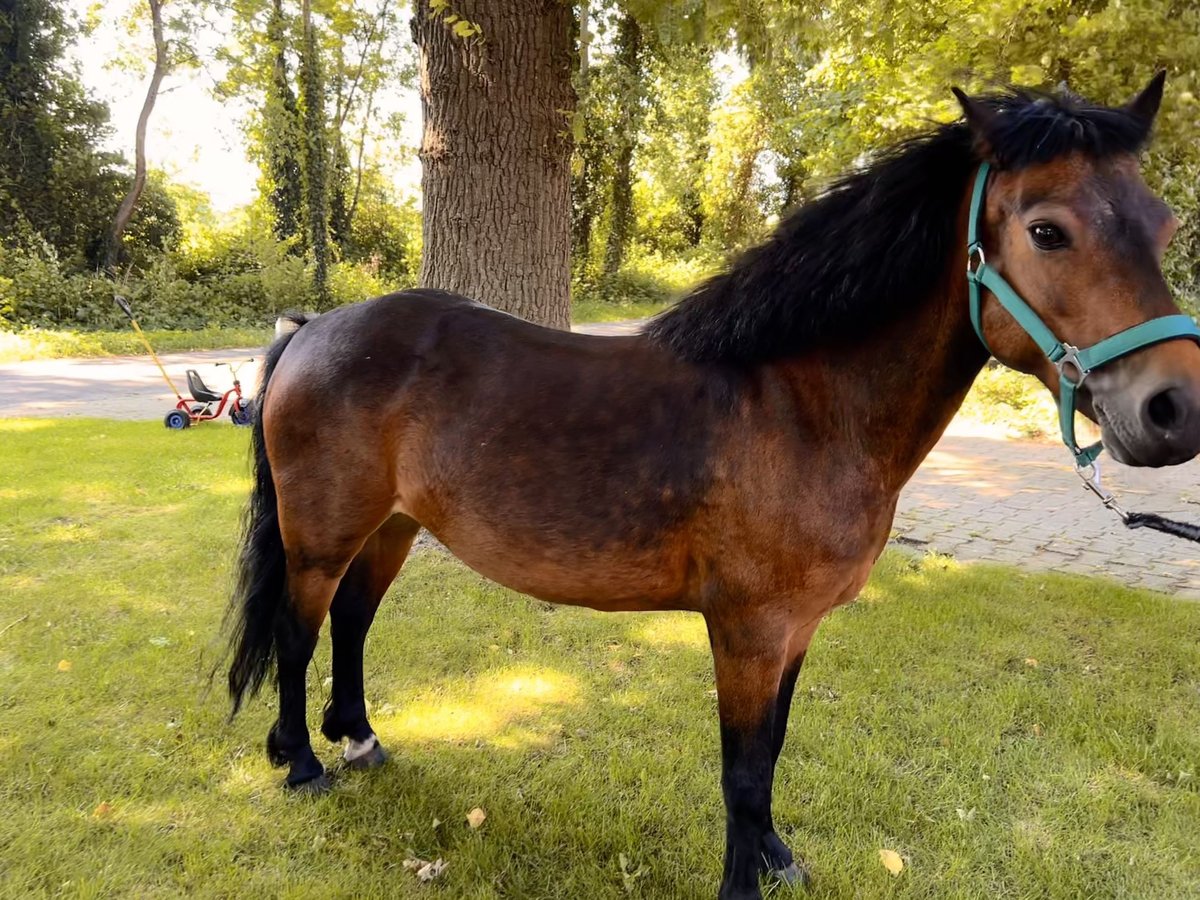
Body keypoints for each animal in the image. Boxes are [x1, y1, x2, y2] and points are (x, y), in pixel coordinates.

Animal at [225, 74, 1200, 900]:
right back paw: (301, 764)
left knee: (352, 622)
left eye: (1161, 226)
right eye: (1047, 230)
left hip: (391, 526)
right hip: (321, 533)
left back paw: (358, 738)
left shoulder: (795, 631)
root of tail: (315, 328)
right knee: (301, 630)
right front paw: (745, 881)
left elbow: (771, 751)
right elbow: (741, 769)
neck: (807, 409)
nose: (1173, 408)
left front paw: (777, 860)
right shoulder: (748, 629)